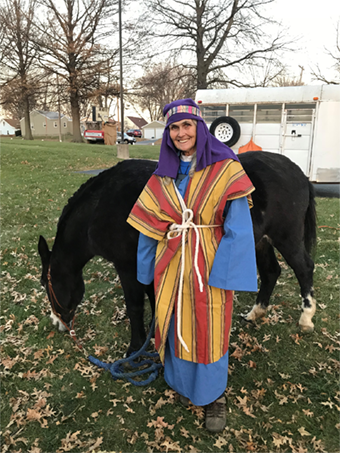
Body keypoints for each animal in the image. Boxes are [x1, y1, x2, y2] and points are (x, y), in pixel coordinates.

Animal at [38, 152, 318, 354]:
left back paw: (306, 318)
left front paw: (135, 348)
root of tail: (299, 173)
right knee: (271, 271)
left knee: (304, 268)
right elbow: (154, 298)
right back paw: (255, 313)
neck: (100, 206)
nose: (57, 322)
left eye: (45, 283)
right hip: (261, 241)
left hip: (287, 237)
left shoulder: (126, 266)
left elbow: (135, 306)